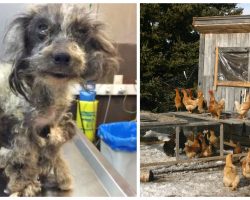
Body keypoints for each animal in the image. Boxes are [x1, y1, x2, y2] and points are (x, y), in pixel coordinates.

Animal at [0, 3, 119, 197]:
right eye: (42, 27)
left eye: (81, 30)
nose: (62, 56)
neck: (49, 91)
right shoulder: (22, 131)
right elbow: (25, 160)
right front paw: (25, 184)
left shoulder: (49, 126)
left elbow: (52, 151)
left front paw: (60, 174)